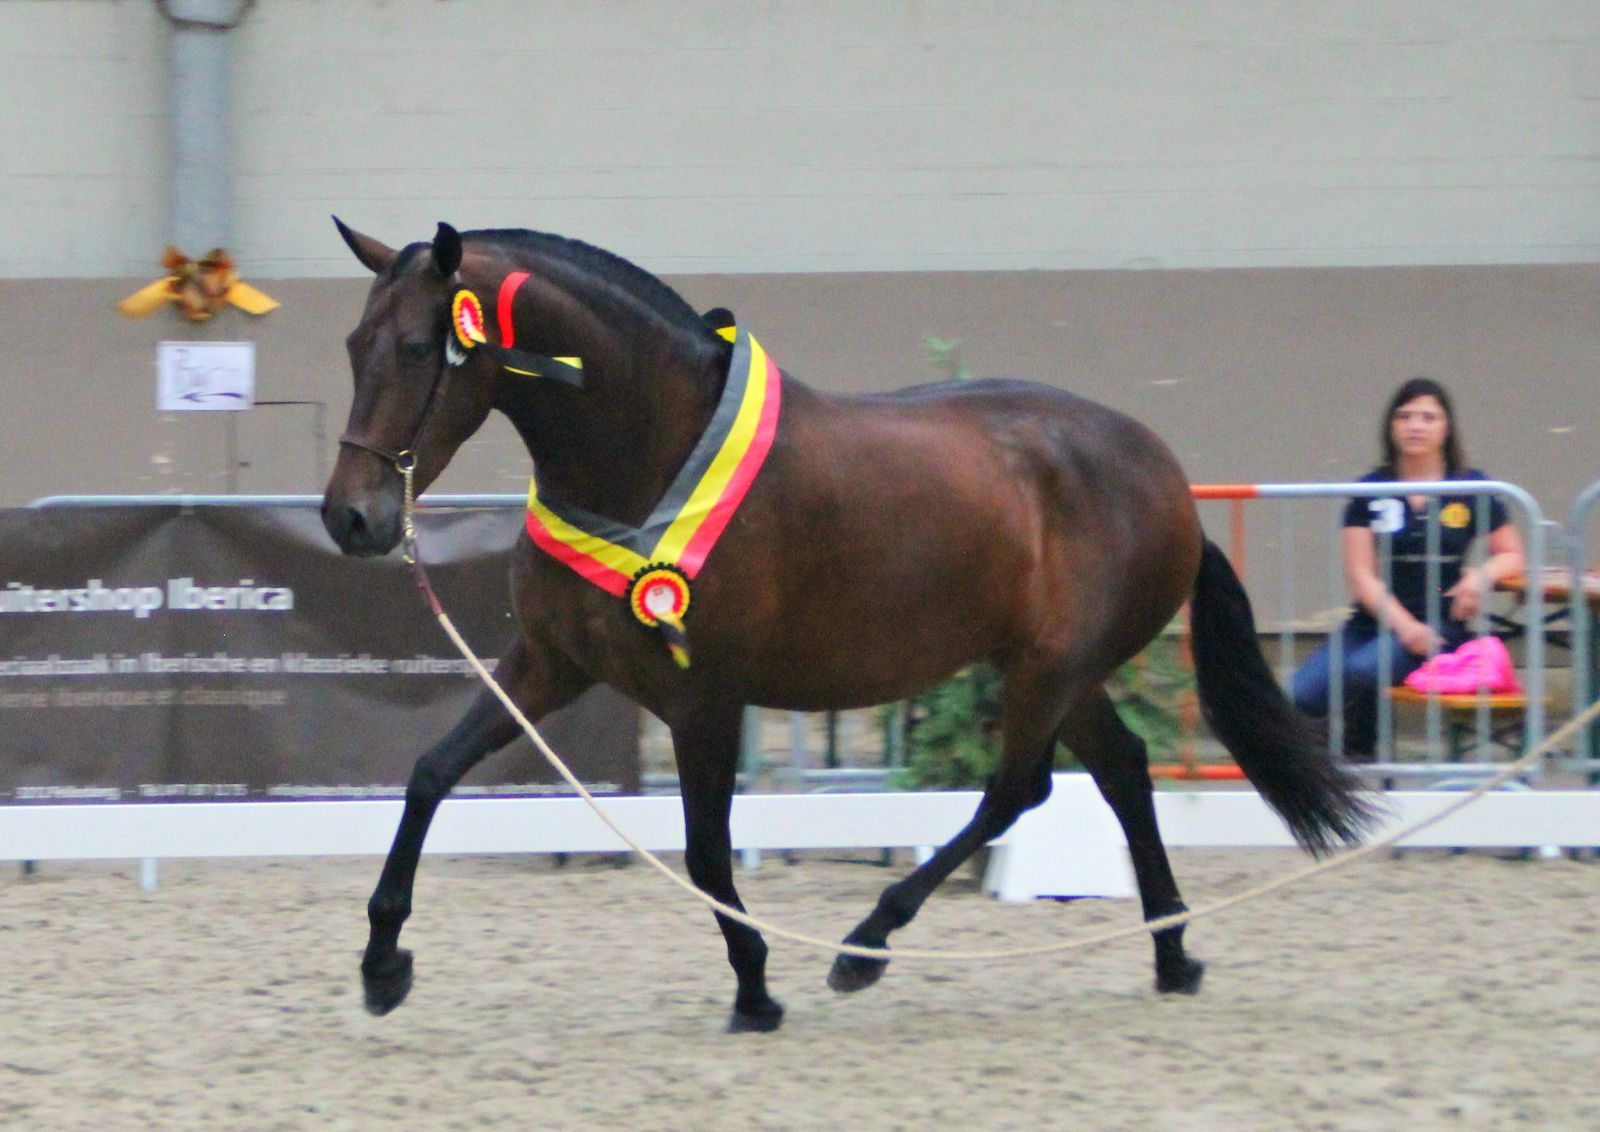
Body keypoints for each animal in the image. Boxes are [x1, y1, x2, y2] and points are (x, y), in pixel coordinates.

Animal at [321, 219, 1374, 1033]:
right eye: (350, 343)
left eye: (416, 349)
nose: (352, 519)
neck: (647, 460)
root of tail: (1168, 476)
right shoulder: (548, 664)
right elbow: (430, 773)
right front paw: (382, 964)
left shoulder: (703, 700)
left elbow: (707, 851)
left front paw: (755, 991)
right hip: (1058, 673)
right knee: (1118, 770)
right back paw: (1171, 953)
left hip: (1047, 670)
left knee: (1020, 789)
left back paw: (867, 944)